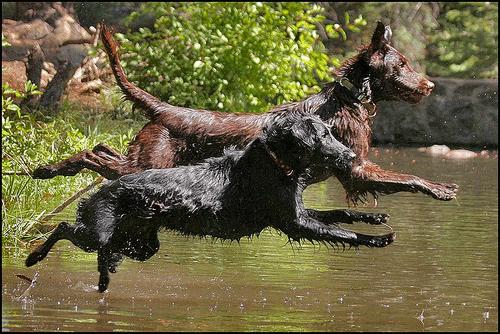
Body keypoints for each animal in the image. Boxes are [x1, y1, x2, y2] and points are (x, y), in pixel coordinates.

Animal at [26, 113, 394, 292]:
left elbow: (340, 213)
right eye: (324, 135)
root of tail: (103, 189)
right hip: (99, 231)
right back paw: (34, 257)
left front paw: (375, 219)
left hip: (141, 245)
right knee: (64, 227)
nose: (350, 156)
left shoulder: (297, 213)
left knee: (106, 252)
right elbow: (342, 234)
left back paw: (104, 279)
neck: (275, 161)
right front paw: (378, 240)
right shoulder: (294, 223)